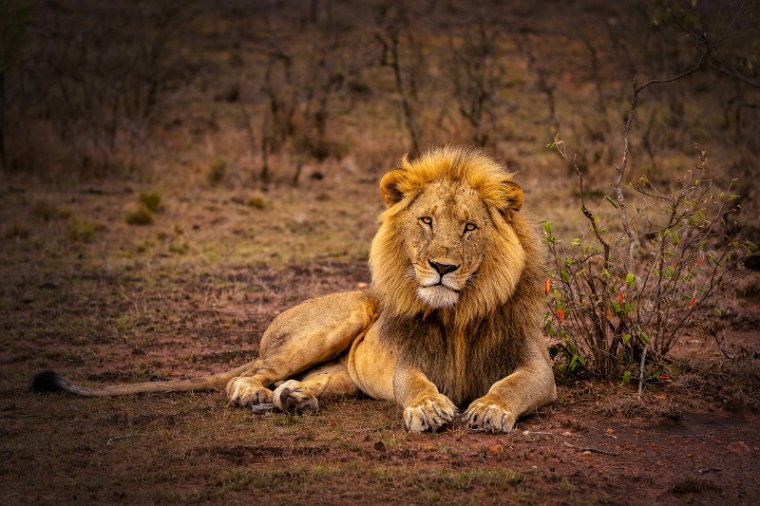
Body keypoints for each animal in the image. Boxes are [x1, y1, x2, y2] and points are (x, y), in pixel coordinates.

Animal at [32, 147, 556, 434]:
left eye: (469, 228)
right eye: (426, 221)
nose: (442, 268)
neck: (458, 315)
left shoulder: (537, 367)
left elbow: (512, 384)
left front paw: (489, 409)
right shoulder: (407, 362)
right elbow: (415, 384)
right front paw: (428, 409)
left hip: (344, 373)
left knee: (305, 381)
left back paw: (293, 400)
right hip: (340, 316)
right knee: (247, 376)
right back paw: (256, 397)